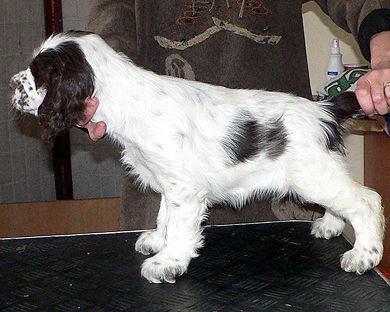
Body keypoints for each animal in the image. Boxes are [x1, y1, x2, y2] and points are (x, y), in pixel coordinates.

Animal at [9, 31, 386, 282]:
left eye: (38, 74)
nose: (12, 83)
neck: (129, 99)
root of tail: (324, 109)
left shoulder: (186, 189)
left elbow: (179, 228)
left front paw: (166, 263)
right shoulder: (170, 183)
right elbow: (164, 217)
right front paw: (157, 242)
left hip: (312, 175)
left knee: (365, 201)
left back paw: (363, 255)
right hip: (319, 174)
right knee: (344, 202)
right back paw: (330, 226)